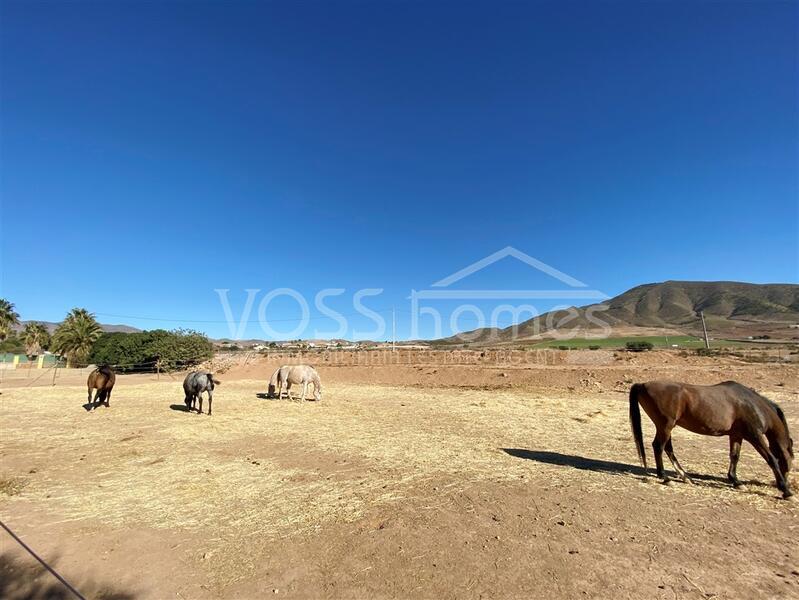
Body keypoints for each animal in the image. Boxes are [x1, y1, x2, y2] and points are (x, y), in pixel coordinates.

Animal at [632, 382, 792, 500]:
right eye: (790, 460)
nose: (787, 482)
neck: (752, 405)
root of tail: (643, 384)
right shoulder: (755, 436)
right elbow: (771, 459)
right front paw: (786, 491)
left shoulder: (736, 436)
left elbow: (734, 456)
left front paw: (736, 481)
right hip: (665, 426)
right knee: (659, 447)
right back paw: (665, 477)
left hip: (666, 427)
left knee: (668, 448)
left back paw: (686, 477)